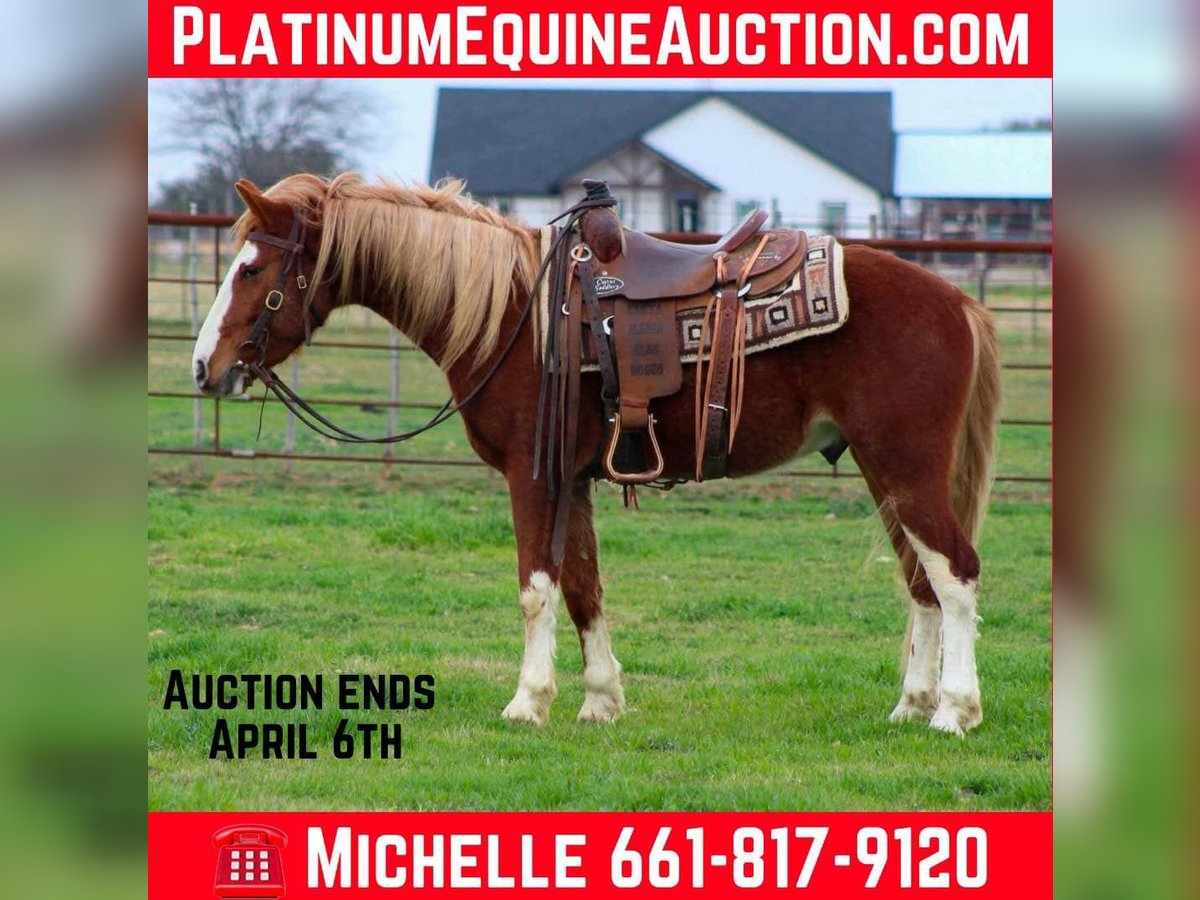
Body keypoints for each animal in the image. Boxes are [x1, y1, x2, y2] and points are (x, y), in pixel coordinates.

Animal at [192, 172, 1001, 736]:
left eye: (252, 271)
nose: (204, 367)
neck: (513, 316)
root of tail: (957, 301)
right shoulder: (573, 480)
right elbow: (584, 587)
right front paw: (602, 700)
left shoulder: (533, 475)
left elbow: (536, 588)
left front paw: (528, 702)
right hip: (883, 471)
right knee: (921, 582)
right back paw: (912, 703)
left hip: (905, 467)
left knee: (955, 574)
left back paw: (955, 710)